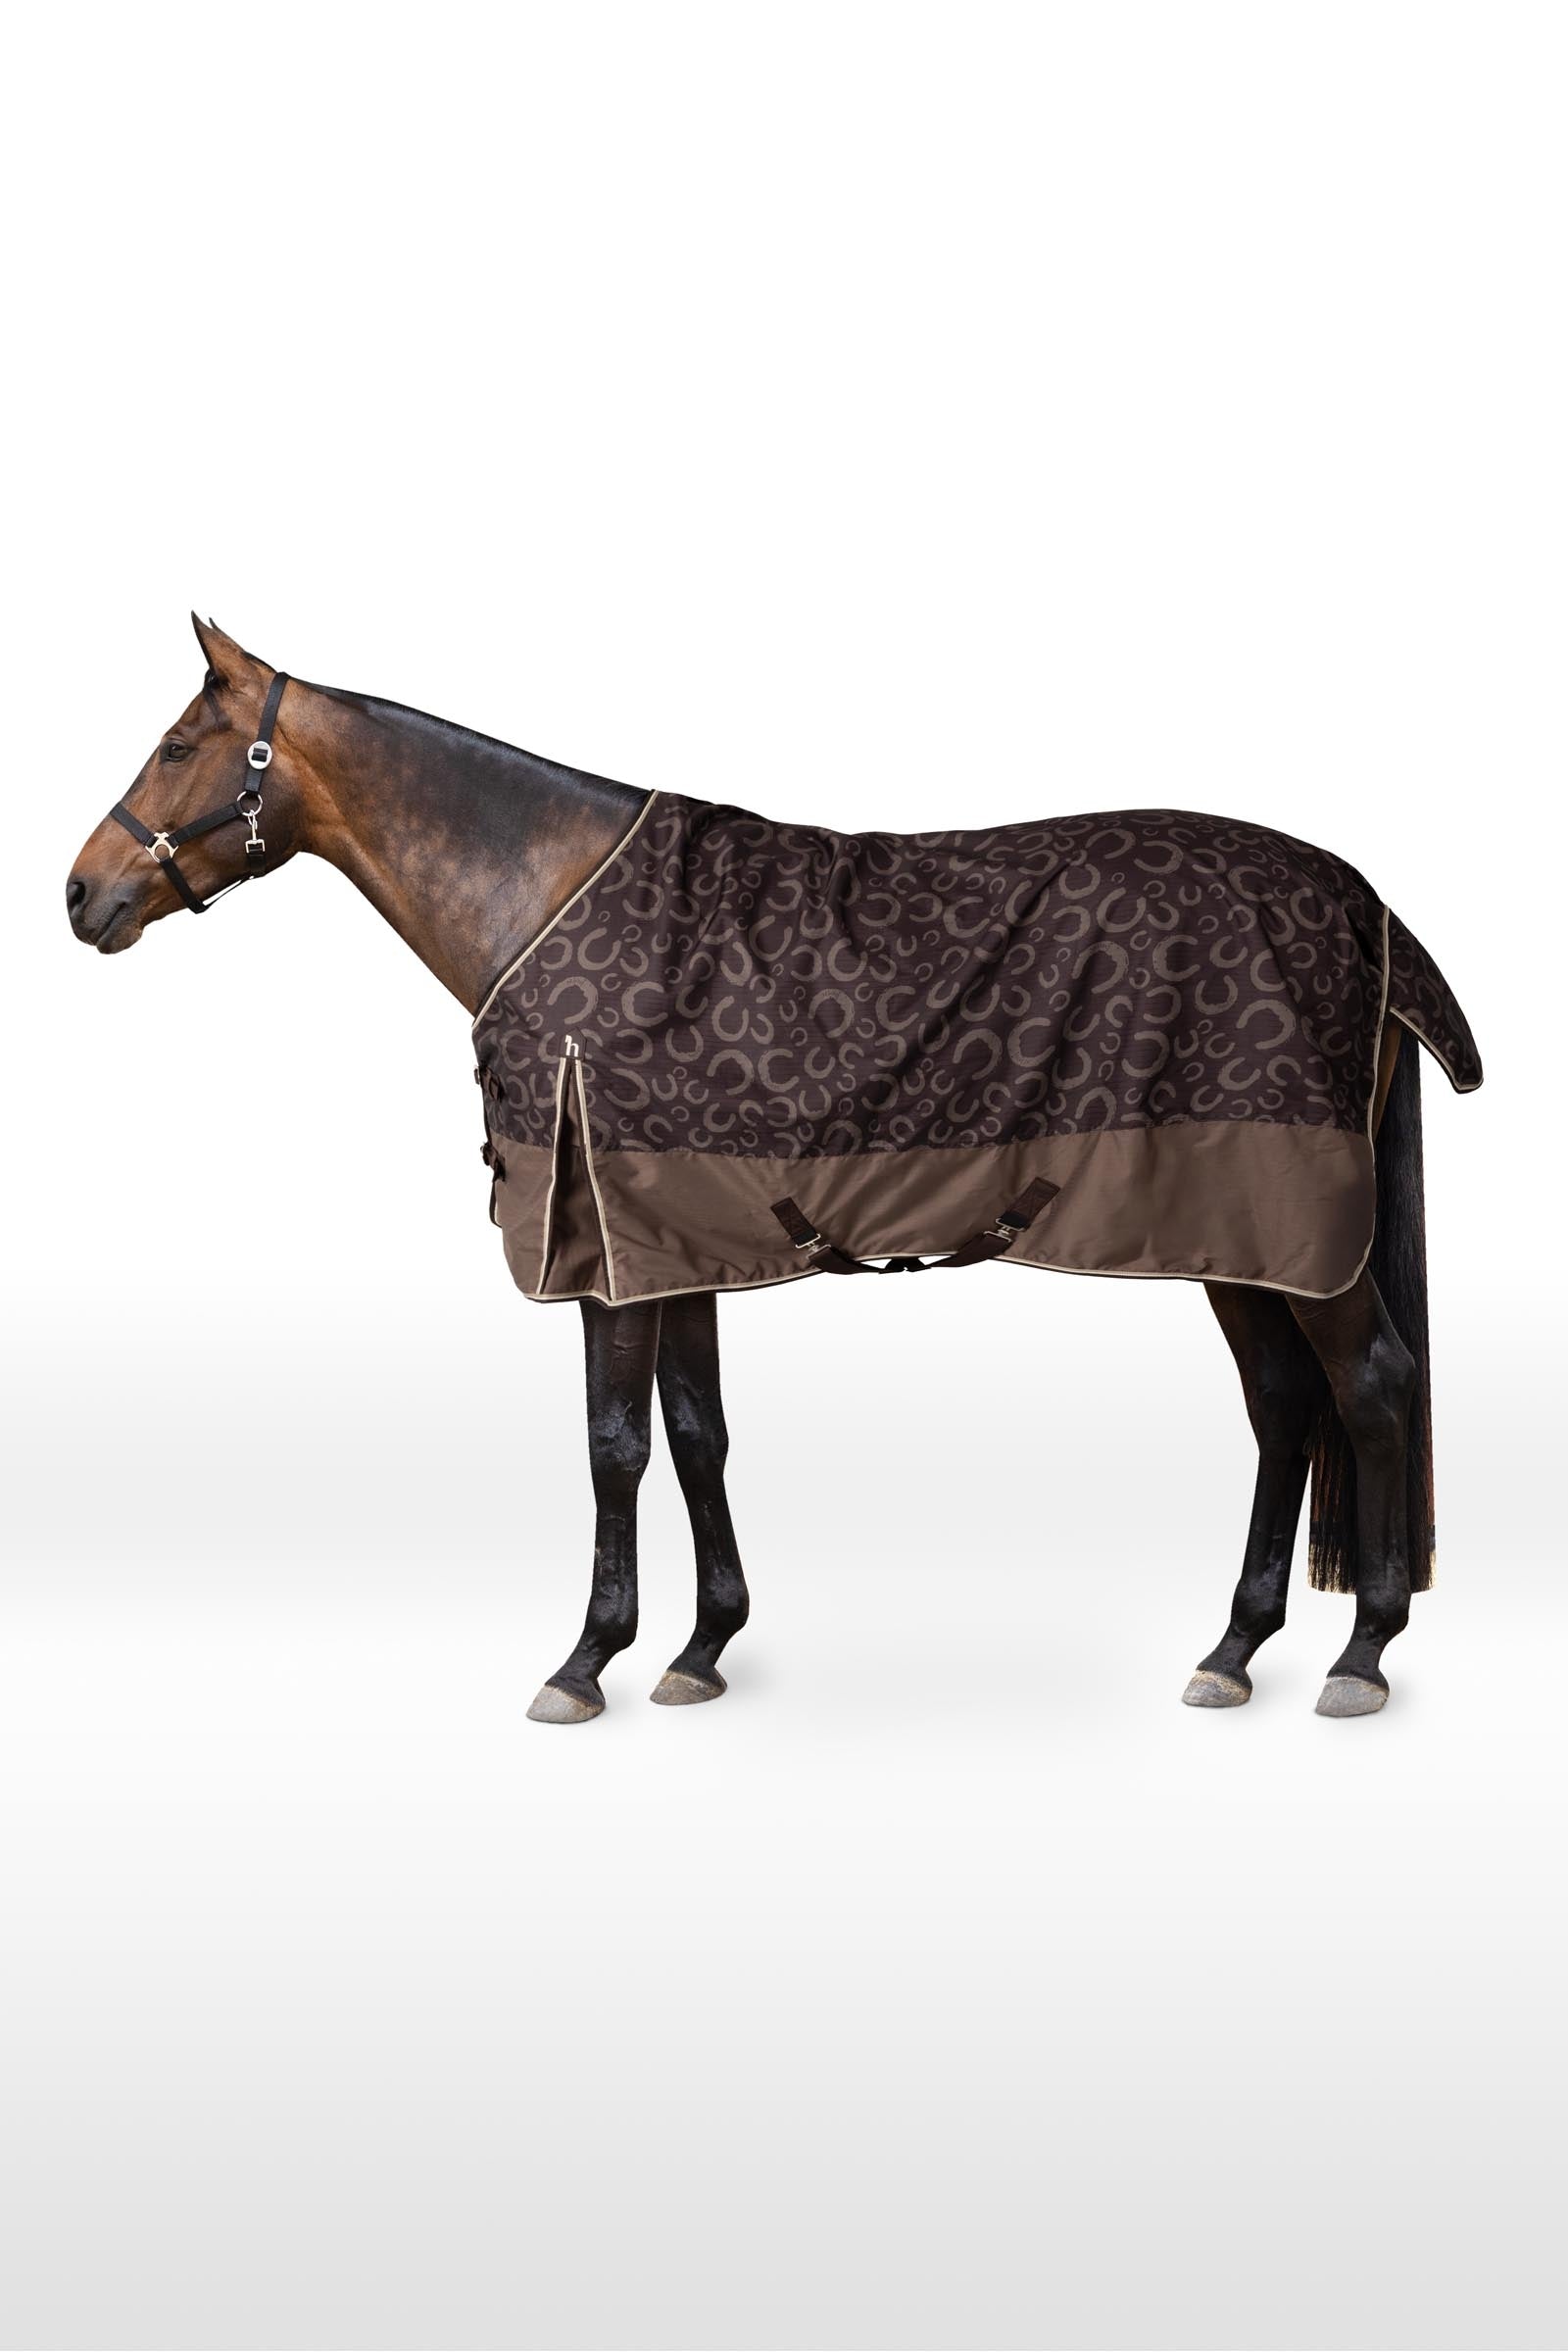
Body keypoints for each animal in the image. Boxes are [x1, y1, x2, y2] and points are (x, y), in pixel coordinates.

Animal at [66, 617, 1481, 1725]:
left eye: (180, 746)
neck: (545, 891)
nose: (81, 896)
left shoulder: (608, 1258)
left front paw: (586, 1661)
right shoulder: (670, 1236)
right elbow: (698, 1434)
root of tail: (1362, 906)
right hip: (1235, 1234)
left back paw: (1362, 1655)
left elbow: (615, 1447)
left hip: (1295, 1237)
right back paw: (1235, 1650)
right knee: (1284, 1408)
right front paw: (701, 1648)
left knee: (1368, 1385)